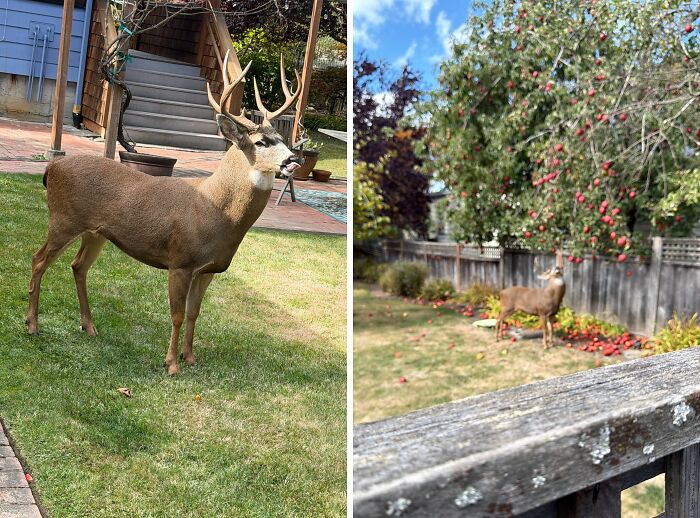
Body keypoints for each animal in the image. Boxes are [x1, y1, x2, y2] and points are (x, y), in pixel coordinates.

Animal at [26, 52, 301, 375]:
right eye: (260, 142)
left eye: (282, 138)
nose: (293, 160)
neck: (216, 212)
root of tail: (51, 168)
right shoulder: (180, 260)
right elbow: (177, 315)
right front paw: (171, 364)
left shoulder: (208, 269)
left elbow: (195, 313)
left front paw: (190, 357)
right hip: (63, 219)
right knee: (38, 259)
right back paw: (32, 325)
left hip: (96, 232)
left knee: (78, 266)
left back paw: (89, 327)